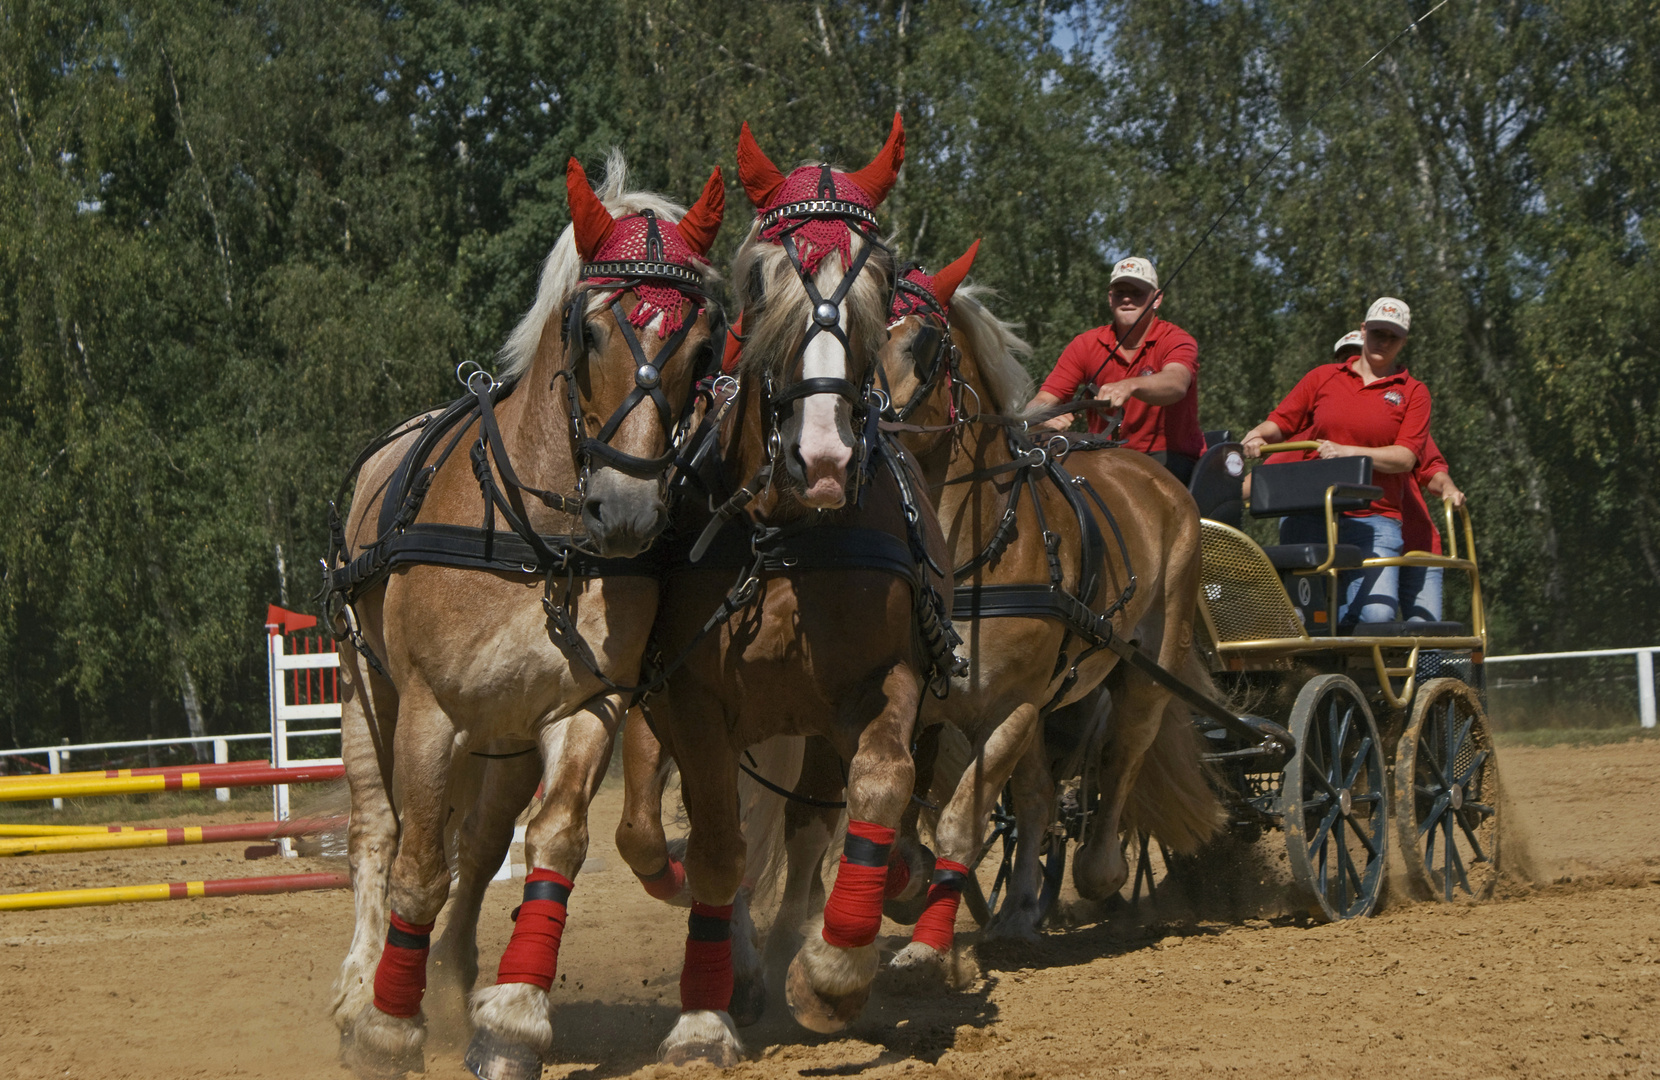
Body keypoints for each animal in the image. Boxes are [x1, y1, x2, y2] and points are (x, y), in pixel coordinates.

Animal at [327, 154, 723, 1080]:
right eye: (592, 332)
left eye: (700, 345)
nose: (628, 510)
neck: (541, 544)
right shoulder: (428, 712)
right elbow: (415, 866)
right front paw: (387, 1025)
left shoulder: (586, 706)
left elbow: (553, 844)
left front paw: (511, 1016)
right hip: (368, 693)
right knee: (377, 834)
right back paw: (362, 988)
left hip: (502, 741)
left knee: (479, 849)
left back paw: (452, 974)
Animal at [610, 118, 956, 1061]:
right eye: (763, 278)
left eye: (875, 278)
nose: (825, 456)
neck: (784, 539)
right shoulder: (688, 698)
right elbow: (706, 844)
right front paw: (704, 1015)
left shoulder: (881, 682)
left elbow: (880, 784)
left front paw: (833, 973)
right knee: (692, 830)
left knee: (806, 833)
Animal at [770, 242, 1228, 982]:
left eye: (926, 345)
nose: (843, 444)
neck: (962, 560)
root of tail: (1156, 479)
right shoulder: (918, 703)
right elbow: (904, 817)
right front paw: (908, 891)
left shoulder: (1010, 705)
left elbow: (962, 821)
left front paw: (927, 945)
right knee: (1040, 797)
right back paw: (1017, 914)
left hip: (1143, 666)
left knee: (1124, 755)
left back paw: (1101, 874)